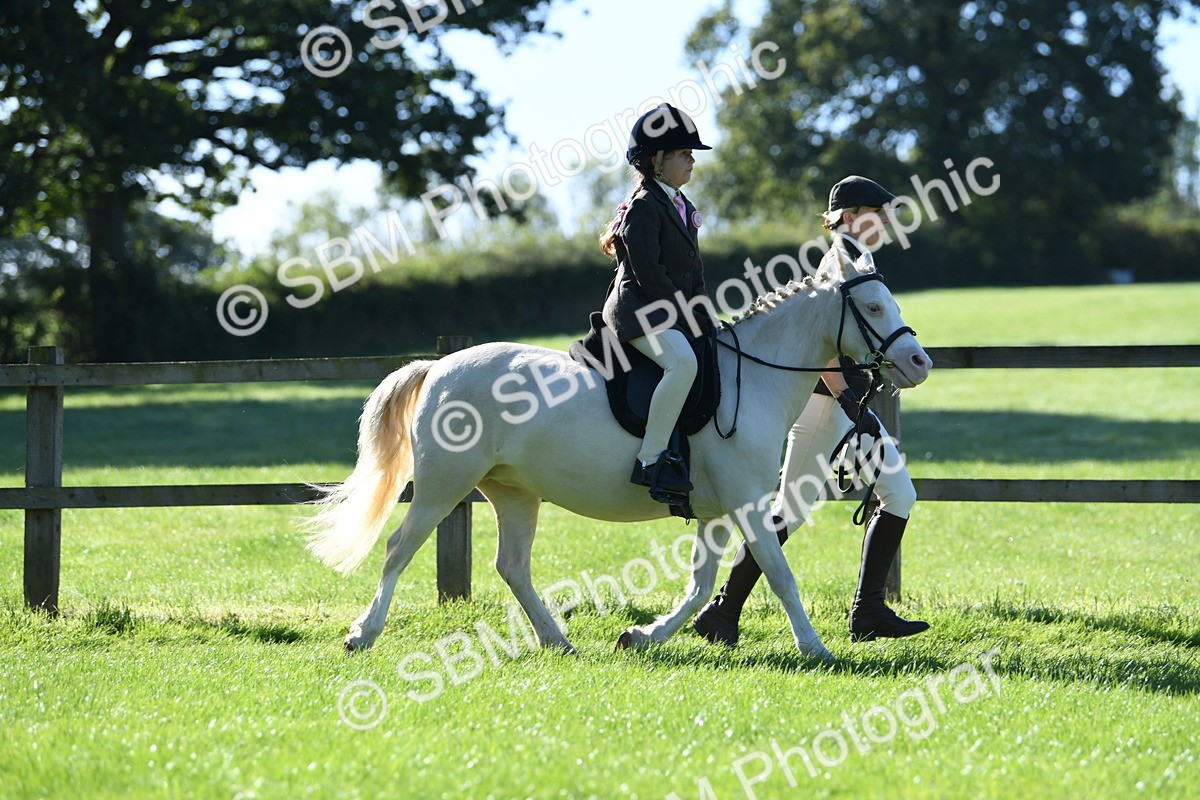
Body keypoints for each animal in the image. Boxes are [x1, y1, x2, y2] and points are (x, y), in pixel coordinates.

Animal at [303, 255, 932, 661]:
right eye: (873, 305)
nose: (919, 363)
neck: (753, 377)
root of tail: (438, 366)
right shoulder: (747, 504)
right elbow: (779, 573)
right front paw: (816, 647)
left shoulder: (716, 513)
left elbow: (702, 583)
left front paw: (643, 636)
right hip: (443, 484)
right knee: (398, 549)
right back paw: (363, 634)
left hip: (513, 491)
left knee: (512, 565)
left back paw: (556, 640)